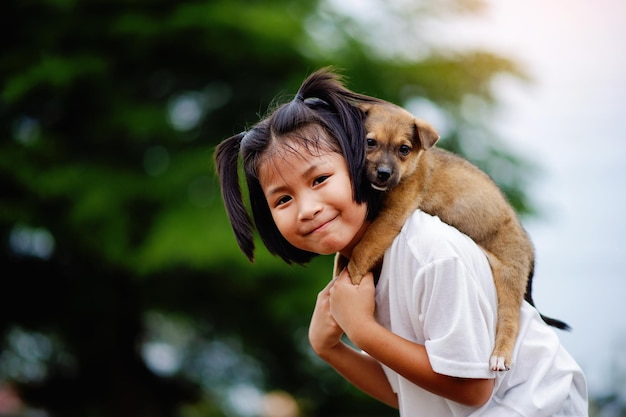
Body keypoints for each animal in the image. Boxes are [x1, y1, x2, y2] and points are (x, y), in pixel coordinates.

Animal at [342, 100, 532, 370]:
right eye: (370, 142)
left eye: (404, 149)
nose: (384, 173)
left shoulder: (392, 215)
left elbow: (362, 249)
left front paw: (352, 280)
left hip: (509, 278)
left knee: (510, 320)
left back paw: (500, 356)